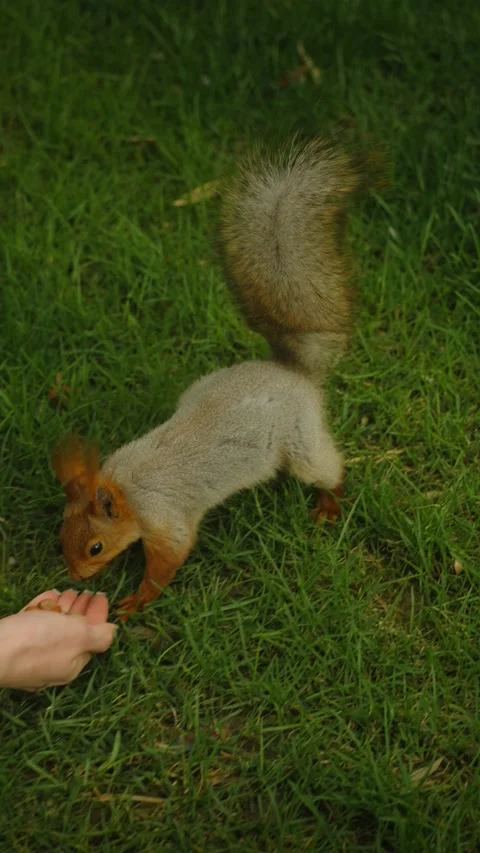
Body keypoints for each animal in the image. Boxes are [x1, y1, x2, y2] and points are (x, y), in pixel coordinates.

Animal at [53, 136, 382, 620]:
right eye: (61, 533)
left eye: (95, 547)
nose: (75, 575)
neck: (124, 490)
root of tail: (290, 369)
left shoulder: (165, 518)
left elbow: (169, 559)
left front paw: (135, 602)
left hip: (302, 439)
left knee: (327, 467)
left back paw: (329, 503)